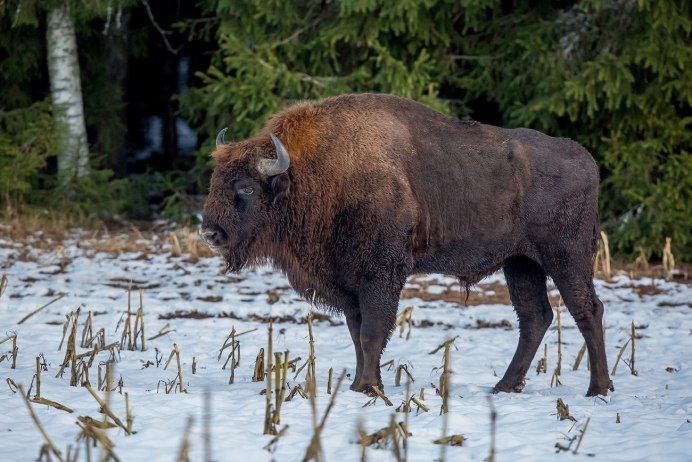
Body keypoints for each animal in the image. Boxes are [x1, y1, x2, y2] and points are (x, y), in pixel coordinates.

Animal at [199, 93, 612, 398]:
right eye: (215, 180)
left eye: (246, 189)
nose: (210, 233)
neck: (315, 172)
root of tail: (586, 160)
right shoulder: (351, 286)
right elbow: (357, 334)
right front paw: (361, 385)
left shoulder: (381, 276)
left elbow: (371, 333)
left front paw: (367, 387)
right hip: (521, 263)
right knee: (535, 317)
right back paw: (504, 387)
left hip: (565, 258)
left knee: (587, 310)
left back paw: (598, 389)